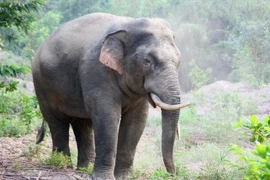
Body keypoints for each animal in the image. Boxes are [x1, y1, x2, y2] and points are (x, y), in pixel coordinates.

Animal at [33, 13, 190, 180]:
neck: (128, 24)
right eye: (148, 61)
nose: (172, 174)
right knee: (57, 121)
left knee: (83, 123)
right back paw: (62, 165)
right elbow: (106, 117)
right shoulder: (97, 70)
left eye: (178, 61)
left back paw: (85, 168)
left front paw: (125, 177)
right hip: (42, 84)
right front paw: (103, 177)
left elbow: (136, 120)